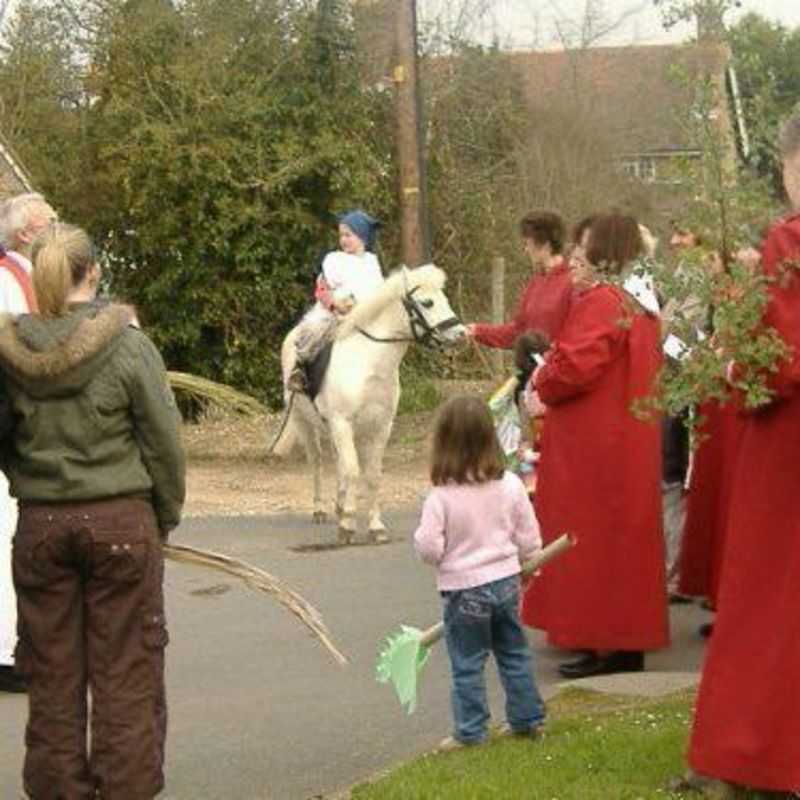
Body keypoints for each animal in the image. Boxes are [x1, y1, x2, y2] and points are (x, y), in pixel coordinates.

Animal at [276, 266, 466, 548]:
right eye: (427, 302)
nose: (462, 334)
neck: (369, 363)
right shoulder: (342, 423)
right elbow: (354, 471)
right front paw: (347, 527)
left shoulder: (380, 427)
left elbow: (372, 474)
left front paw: (375, 527)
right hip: (306, 423)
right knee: (318, 462)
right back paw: (320, 510)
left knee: (339, 464)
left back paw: (340, 505)